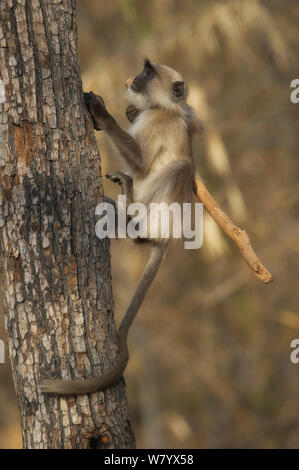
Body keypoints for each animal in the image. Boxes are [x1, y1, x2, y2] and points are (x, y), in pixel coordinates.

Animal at [39, 59, 204, 396]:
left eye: (148, 72)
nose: (135, 78)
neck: (164, 109)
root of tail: (165, 238)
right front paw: (125, 110)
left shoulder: (158, 122)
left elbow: (142, 163)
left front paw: (103, 113)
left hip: (157, 208)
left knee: (180, 168)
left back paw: (134, 220)